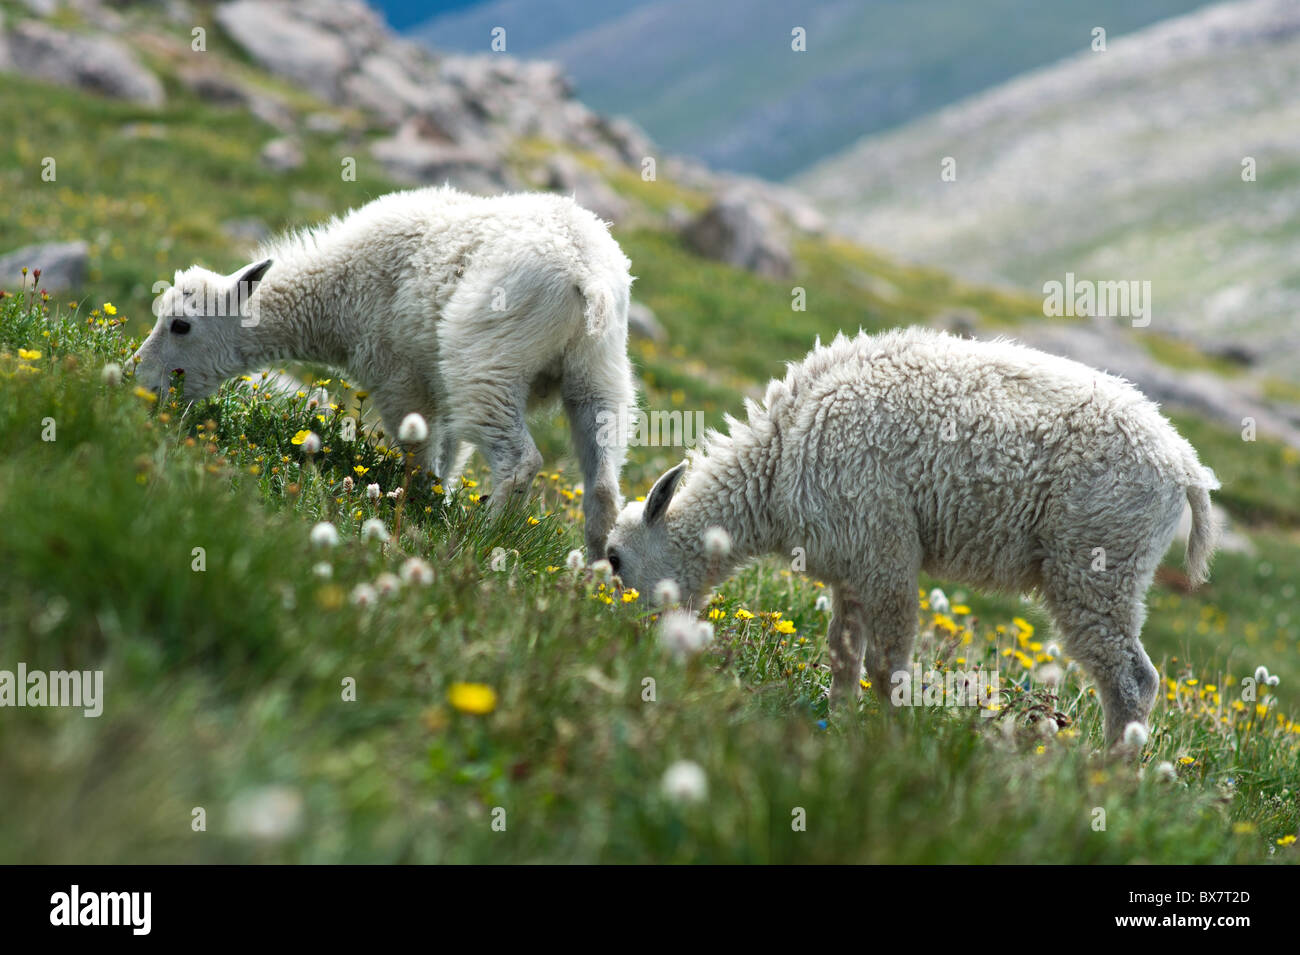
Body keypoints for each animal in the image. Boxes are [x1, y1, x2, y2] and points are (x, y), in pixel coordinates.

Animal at [131, 185, 634, 556]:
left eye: (180, 324)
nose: (142, 383)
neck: (336, 291)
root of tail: (587, 277)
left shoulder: (401, 382)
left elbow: (423, 460)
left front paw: (424, 510)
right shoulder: (436, 387)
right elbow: (448, 458)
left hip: (489, 365)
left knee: (520, 462)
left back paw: (483, 539)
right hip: (599, 374)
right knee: (603, 485)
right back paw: (598, 578)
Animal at [608, 328, 1216, 748]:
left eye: (614, 560)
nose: (620, 637)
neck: (781, 456)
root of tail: (1185, 467)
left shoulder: (886, 551)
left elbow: (888, 664)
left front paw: (889, 740)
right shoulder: (851, 564)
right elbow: (844, 656)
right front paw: (839, 724)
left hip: (1097, 562)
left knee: (1133, 681)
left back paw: (1111, 777)